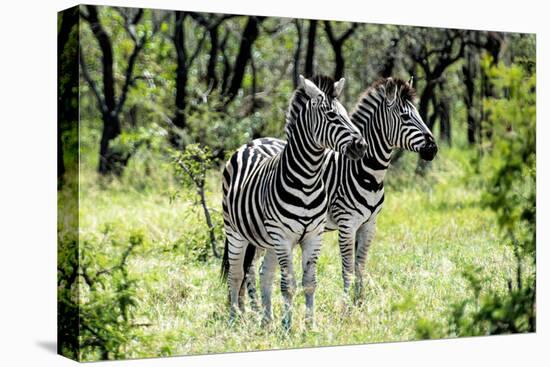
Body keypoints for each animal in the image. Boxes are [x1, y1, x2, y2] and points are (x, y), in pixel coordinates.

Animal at [222, 74, 368, 328]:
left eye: (347, 114)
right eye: (332, 116)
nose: (361, 146)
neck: (308, 180)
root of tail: (249, 144)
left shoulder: (313, 236)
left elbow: (309, 283)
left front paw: (310, 325)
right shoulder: (283, 237)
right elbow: (288, 285)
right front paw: (288, 326)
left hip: (266, 240)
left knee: (264, 274)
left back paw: (266, 320)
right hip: (235, 232)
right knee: (236, 274)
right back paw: (234, 318)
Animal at [246, 77, 440, 310]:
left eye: (419, 114)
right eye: (405, 117)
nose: (433, 148)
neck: (365, 173)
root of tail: (257, 140)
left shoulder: (369, 224)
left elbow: (360, 267)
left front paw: (360, 304)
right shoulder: (347, 224)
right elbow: (347, 268)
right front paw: (346, 308)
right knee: (248, 270)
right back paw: (251, 311)